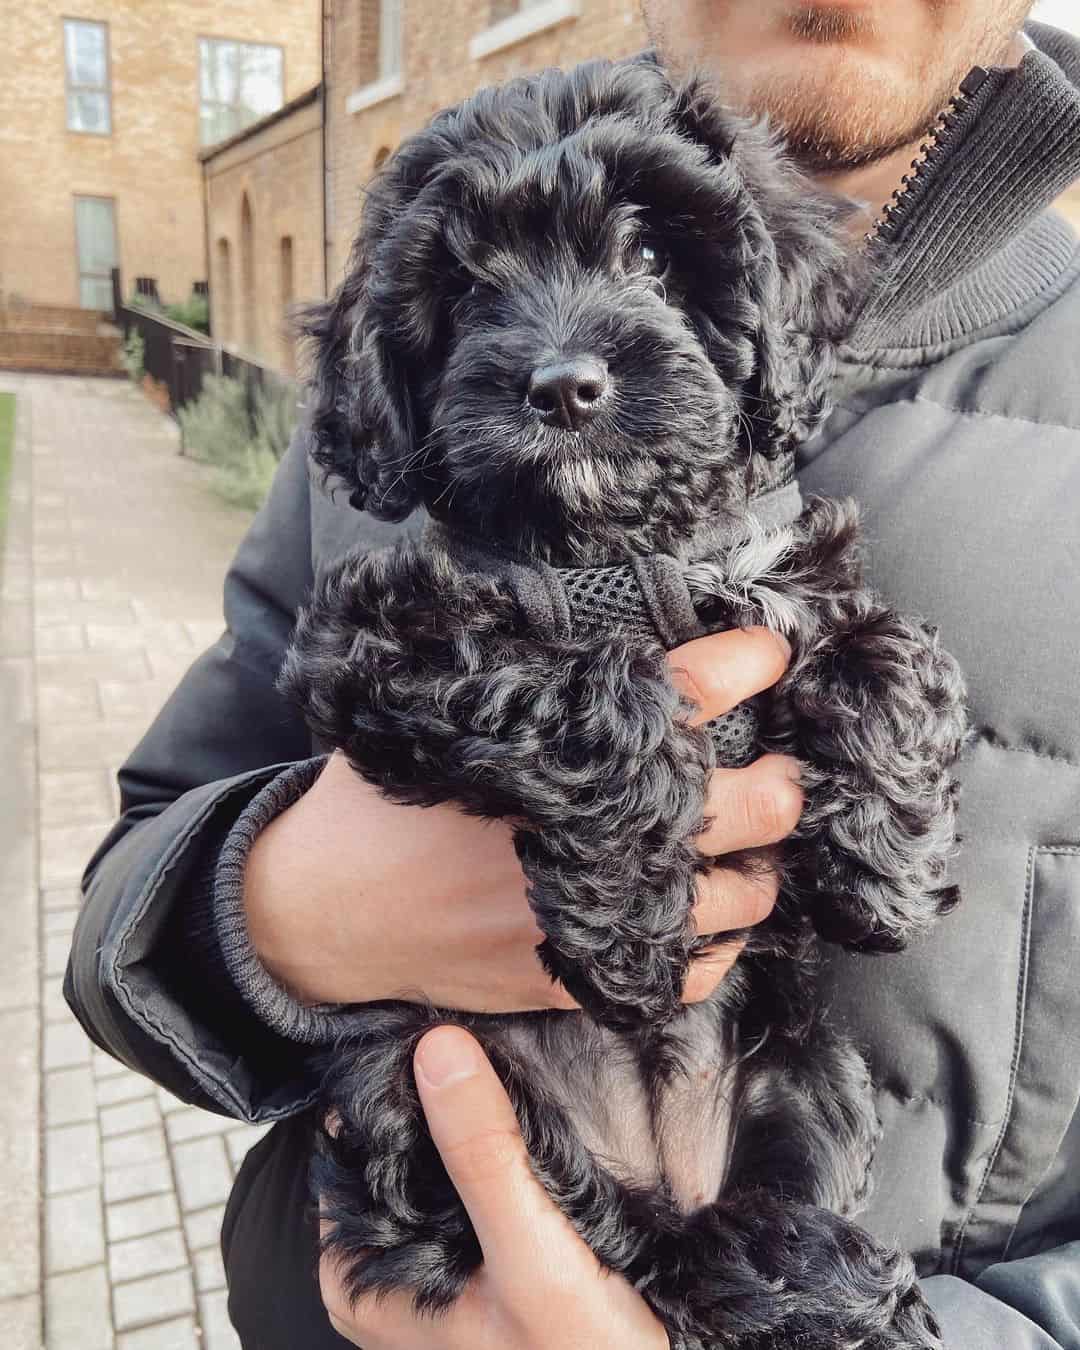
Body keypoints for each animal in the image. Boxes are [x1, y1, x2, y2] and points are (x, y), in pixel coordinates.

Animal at [282, 52, 966, 1350]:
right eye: (464, 286)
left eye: (650, 252)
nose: (563, 386)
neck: (618, 551)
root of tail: (663, 1174)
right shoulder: (378, 638)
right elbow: (581, 685)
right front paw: (633, 926)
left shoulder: (784, 567)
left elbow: (887, 648)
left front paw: (885, 867)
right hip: (416, 1086)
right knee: (613, 1239)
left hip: (809, 1066)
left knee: (764, 1190)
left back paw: (822, 1278)